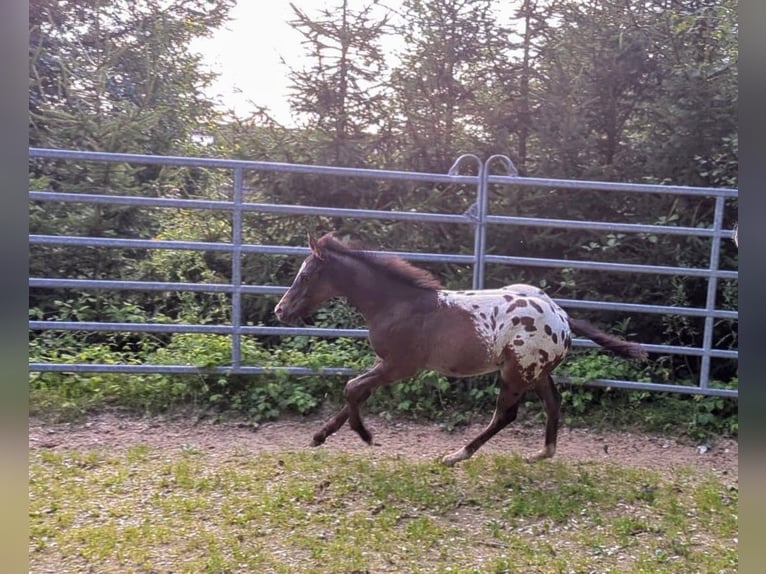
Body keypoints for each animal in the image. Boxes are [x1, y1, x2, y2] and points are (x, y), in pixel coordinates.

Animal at [276, 234, 648, 468]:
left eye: (305, 276)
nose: (280, 310)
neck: (398, 305)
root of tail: (562, 315)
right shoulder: (385, 363)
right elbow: (356, 392)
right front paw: (320, 436)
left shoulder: (400, 366)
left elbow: (351, 388)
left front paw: (365, 435)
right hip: (536, 372)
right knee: (552, 405)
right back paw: (541, 453)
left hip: (515, 372)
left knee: (505, 415)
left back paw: (456, 455)